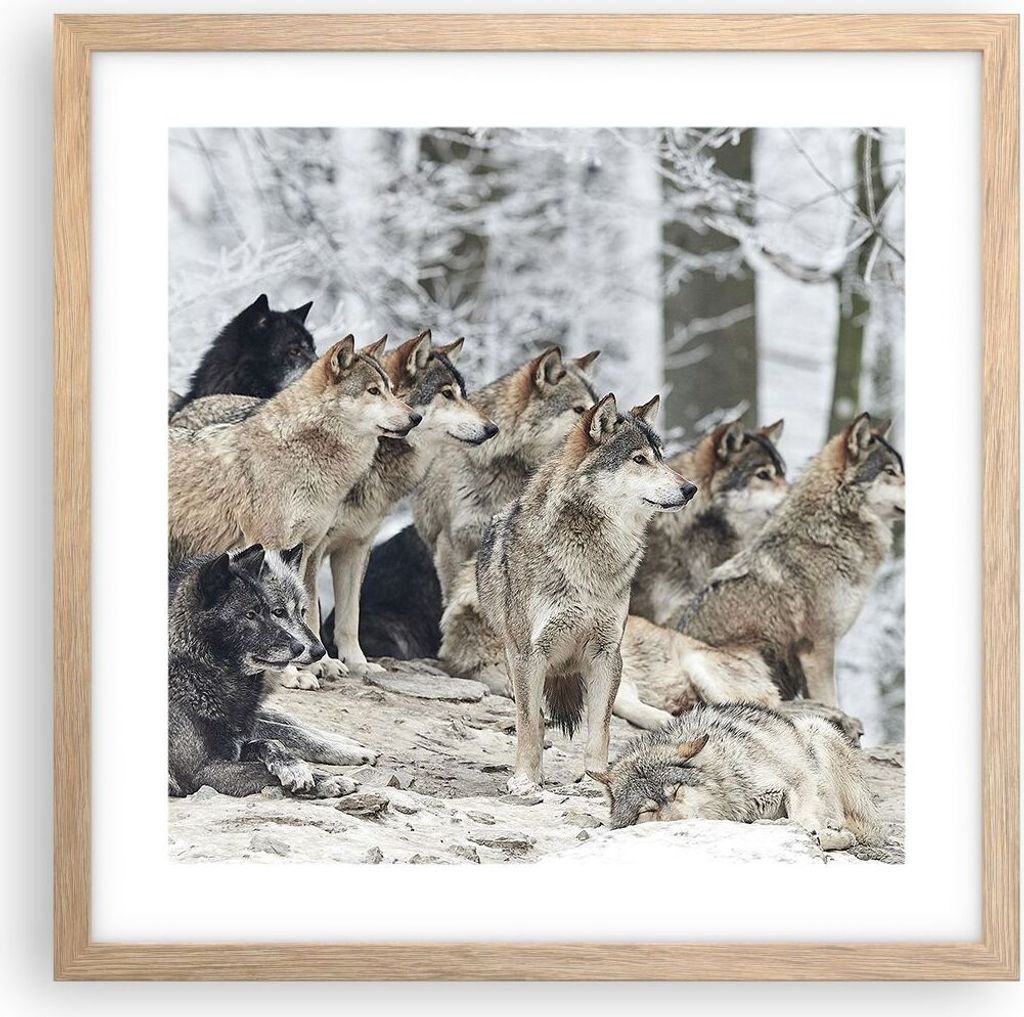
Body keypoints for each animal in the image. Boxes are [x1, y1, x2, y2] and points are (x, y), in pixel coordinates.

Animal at [168, 544, 374, 799]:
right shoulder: (202, 771)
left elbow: (281, 732)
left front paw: (343, 745)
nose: (316, 651)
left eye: (302, 612)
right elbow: (273, 751)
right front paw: (328, 776)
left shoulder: (245, 726)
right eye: (277, 612)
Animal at [476, 393, 698, 795]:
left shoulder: (607, 654)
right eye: (639, 459)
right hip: (516, 662)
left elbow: (600, 730)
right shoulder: (529, 655)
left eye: (661, 457)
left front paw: (597, 780)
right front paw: (525, 781)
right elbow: (529, 725)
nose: (690, 488)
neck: (590, 559)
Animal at [591, 702, 885, 850]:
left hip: (814, 728)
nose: (680, 824)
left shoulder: (798, 781)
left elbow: (804, 821)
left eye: (676, 790)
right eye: (647, 811)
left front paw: (829, 835)